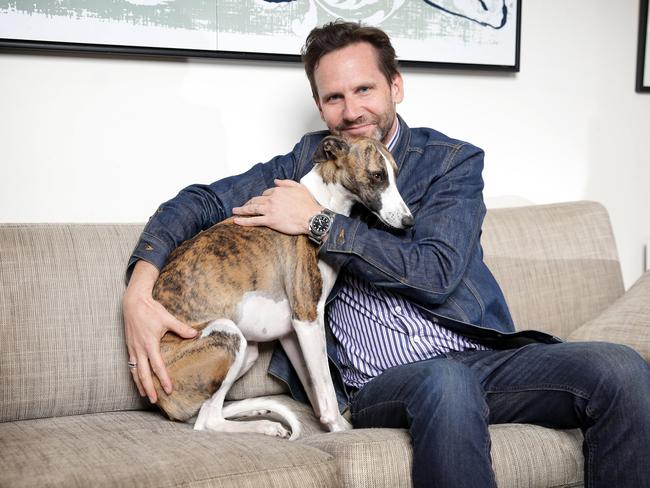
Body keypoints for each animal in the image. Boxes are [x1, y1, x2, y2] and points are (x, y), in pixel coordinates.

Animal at [151, 135, 410, 440]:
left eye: (396, 174)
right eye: (377, 175)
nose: (409, 222)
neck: (319, 202)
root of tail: (161, 400)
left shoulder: (292, 332)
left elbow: (314, 387)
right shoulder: (307, 316)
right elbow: (326, 387)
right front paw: (338, 429)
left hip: (244, 352)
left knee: (205, 411)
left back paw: (257, 413)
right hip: (228, 336)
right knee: (207, 420)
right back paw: (265, 425)